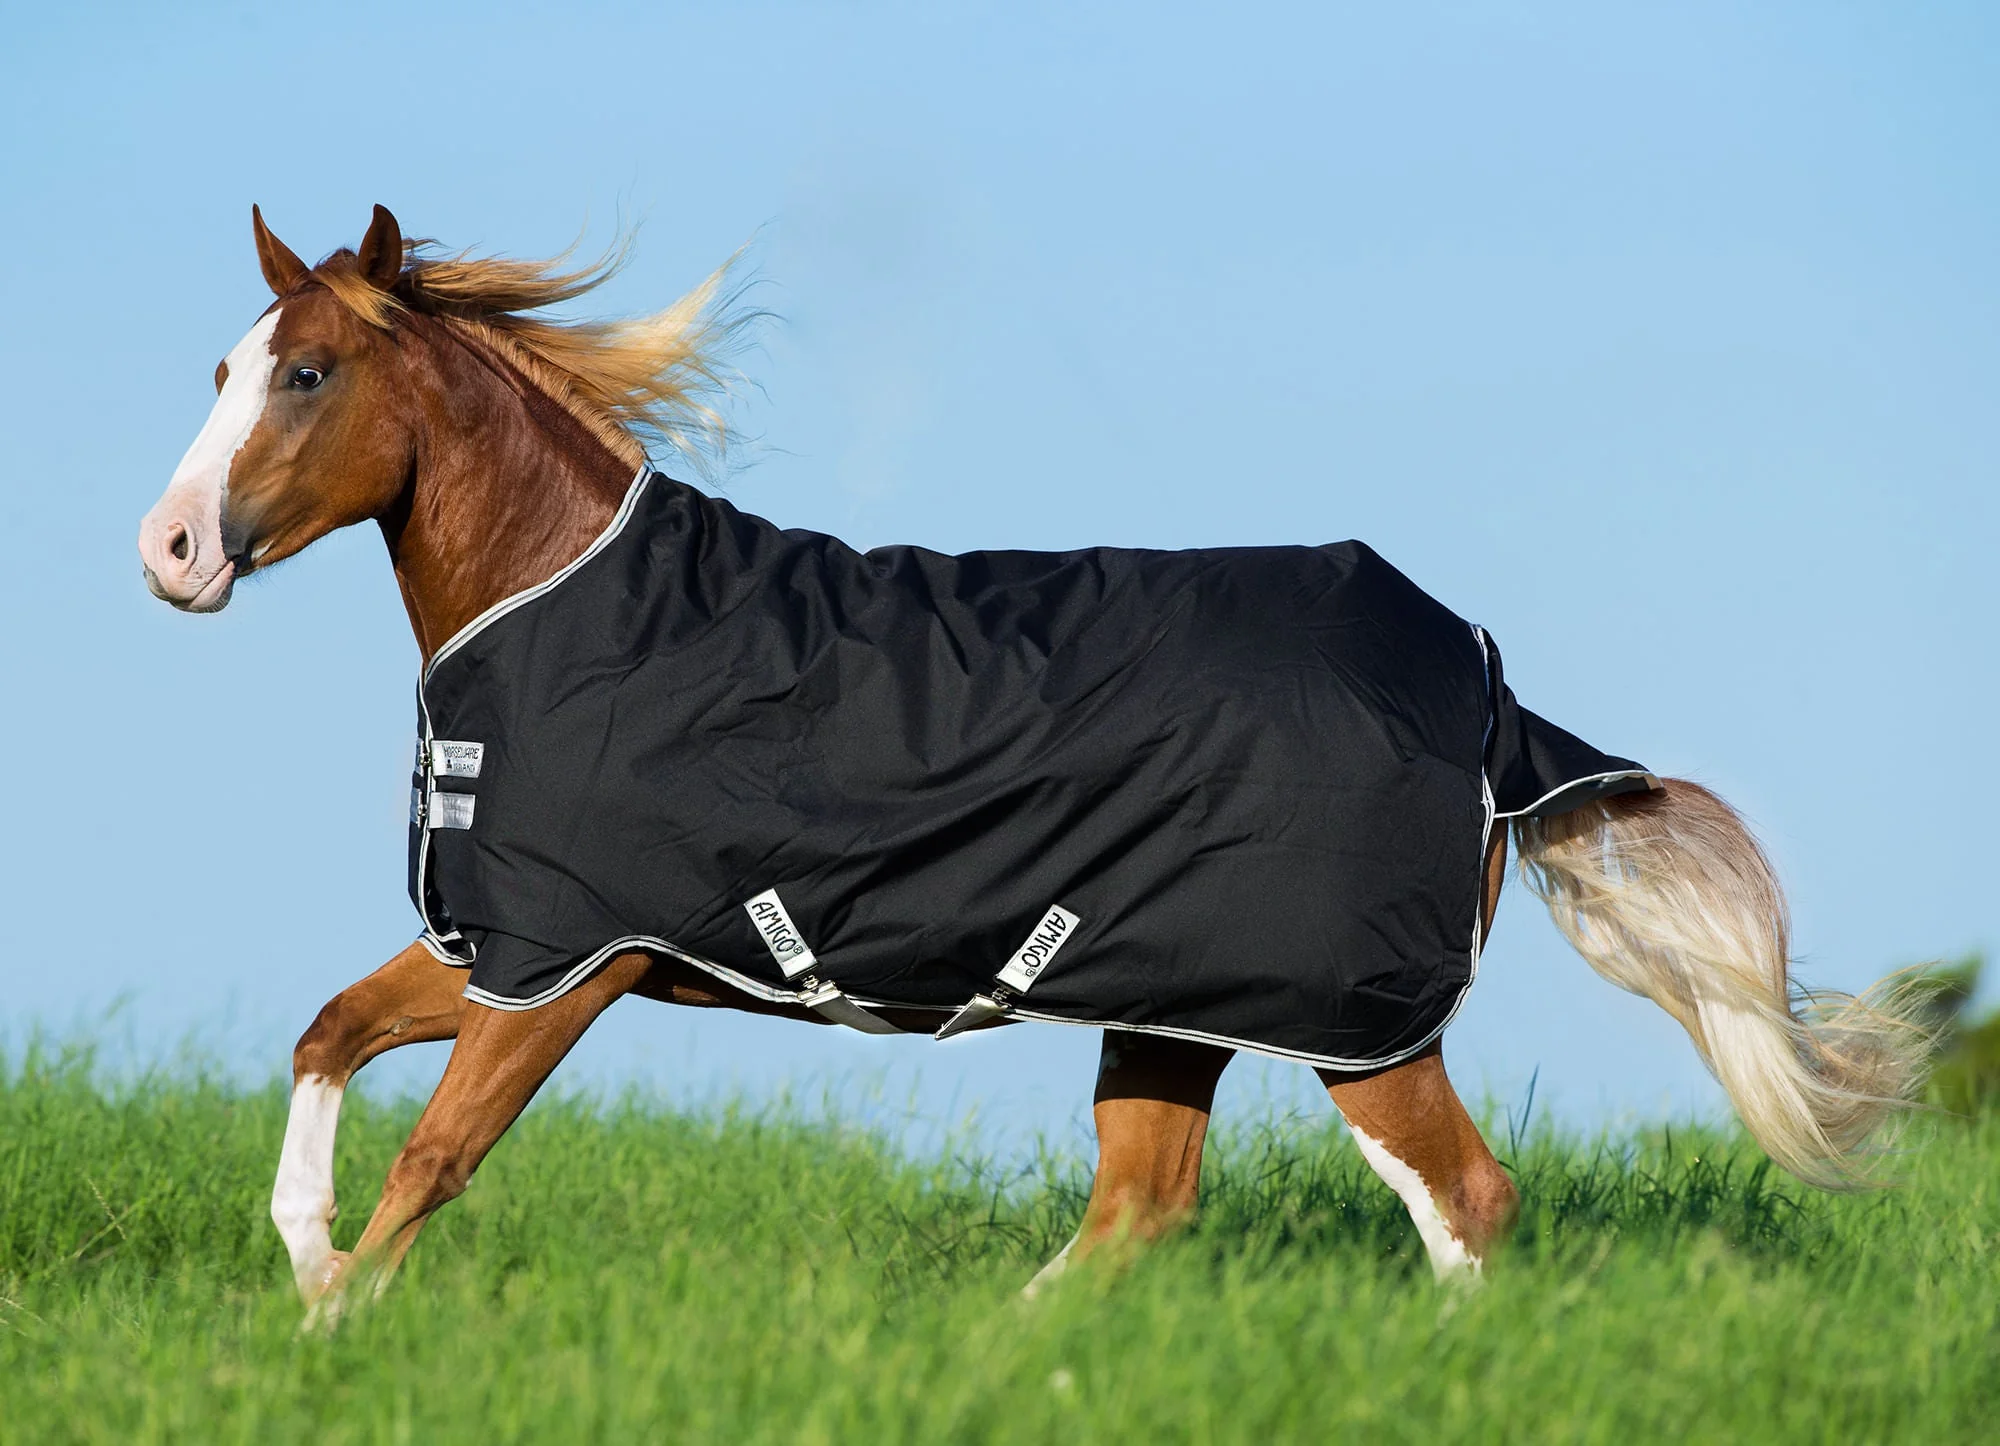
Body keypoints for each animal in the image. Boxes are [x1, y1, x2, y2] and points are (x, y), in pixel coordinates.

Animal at [137, 205, 1929, 1321]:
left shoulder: (570, 959)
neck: (569, 606)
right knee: (1142, 1209)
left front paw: (335, 1329)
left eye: (308, 373)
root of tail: (1489, 696)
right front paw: (308, 1280)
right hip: (1174, 1007)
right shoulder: (509, 946)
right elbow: (328, 1034)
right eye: (220, 368)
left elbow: (435, 1155)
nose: (169, 551)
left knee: (1464, 1204)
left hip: (1352, 1021)